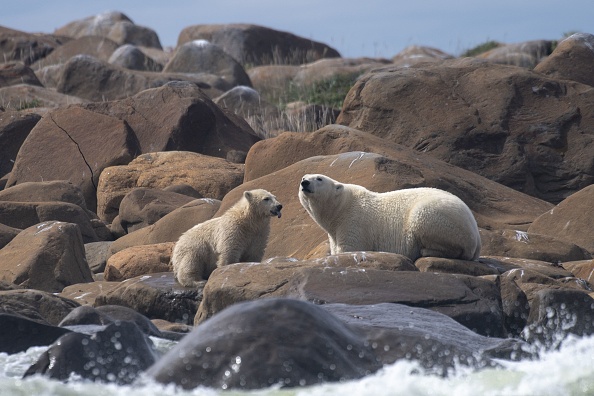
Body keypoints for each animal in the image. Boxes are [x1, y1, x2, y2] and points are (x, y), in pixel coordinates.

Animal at [298, 175, 478, 262]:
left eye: (319, 178)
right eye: (304, 177)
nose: (304, 183)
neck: (342, 206)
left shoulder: (354, 222)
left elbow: (349, 249)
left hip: (440, 217)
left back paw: (425, 250)